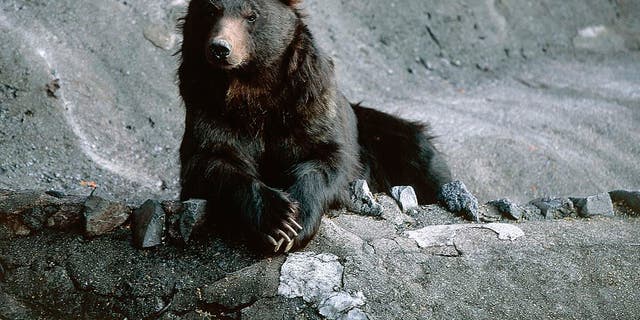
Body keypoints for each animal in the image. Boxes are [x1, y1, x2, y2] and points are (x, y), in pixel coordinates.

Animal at [178, 0, 452, 254]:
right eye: (211, 11)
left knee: (421, 158)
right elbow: (212, 160)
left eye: (252, 15)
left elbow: (326, 158)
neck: (252, 89)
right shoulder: (208, 107)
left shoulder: (308, 102)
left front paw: (296, 223)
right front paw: (276, 221)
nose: (220, 48)